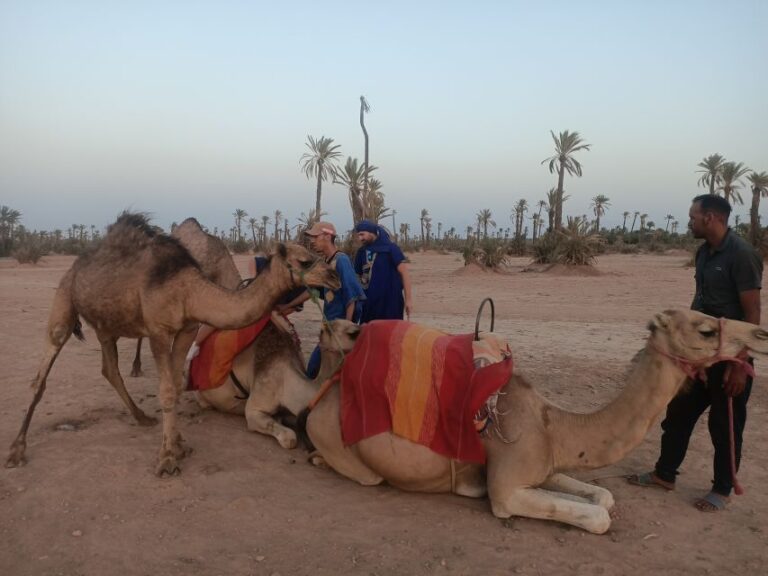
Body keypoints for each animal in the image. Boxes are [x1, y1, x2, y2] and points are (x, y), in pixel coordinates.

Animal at [7, 214, 340, 474]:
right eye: (305, 260)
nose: (335, 276)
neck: (188, 289)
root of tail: (77, 264)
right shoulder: (158, 330)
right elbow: (167, 390)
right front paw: (167, 460)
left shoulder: (187, 329)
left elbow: (178, 386)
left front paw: (178, 445)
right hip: (64, 298)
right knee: (43, 372)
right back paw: (16, 451)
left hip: (107, 326)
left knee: (109, 368)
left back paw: (141, 417)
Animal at [302, 312, 768, 532]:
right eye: (706, 330)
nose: (760, 333)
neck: (551, 425)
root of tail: (327, 388)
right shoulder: (506, 490)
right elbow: (597, 517)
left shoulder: (544, 464)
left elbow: (602, 498)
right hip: (343, 448)